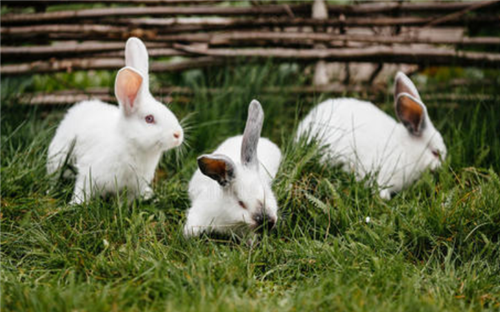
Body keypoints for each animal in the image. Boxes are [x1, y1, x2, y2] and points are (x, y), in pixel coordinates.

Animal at [46, 37, 184, 205]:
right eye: (149, 119)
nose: (178, 135)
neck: (130, 144)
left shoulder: (133, 188)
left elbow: (125, 202)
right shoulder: (88, 174)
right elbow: (81, 190)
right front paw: (75, 204)